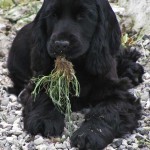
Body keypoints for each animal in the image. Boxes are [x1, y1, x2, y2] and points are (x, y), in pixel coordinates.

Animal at [7, 0, 144, 149]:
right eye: (53, 15)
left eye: (82, 16)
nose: (60, 44)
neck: (77, 65)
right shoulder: (40, 81)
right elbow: (46, 95)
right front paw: (43, 119)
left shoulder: (118, 93)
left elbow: (107, 111)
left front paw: (90, 133)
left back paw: (132, 70)